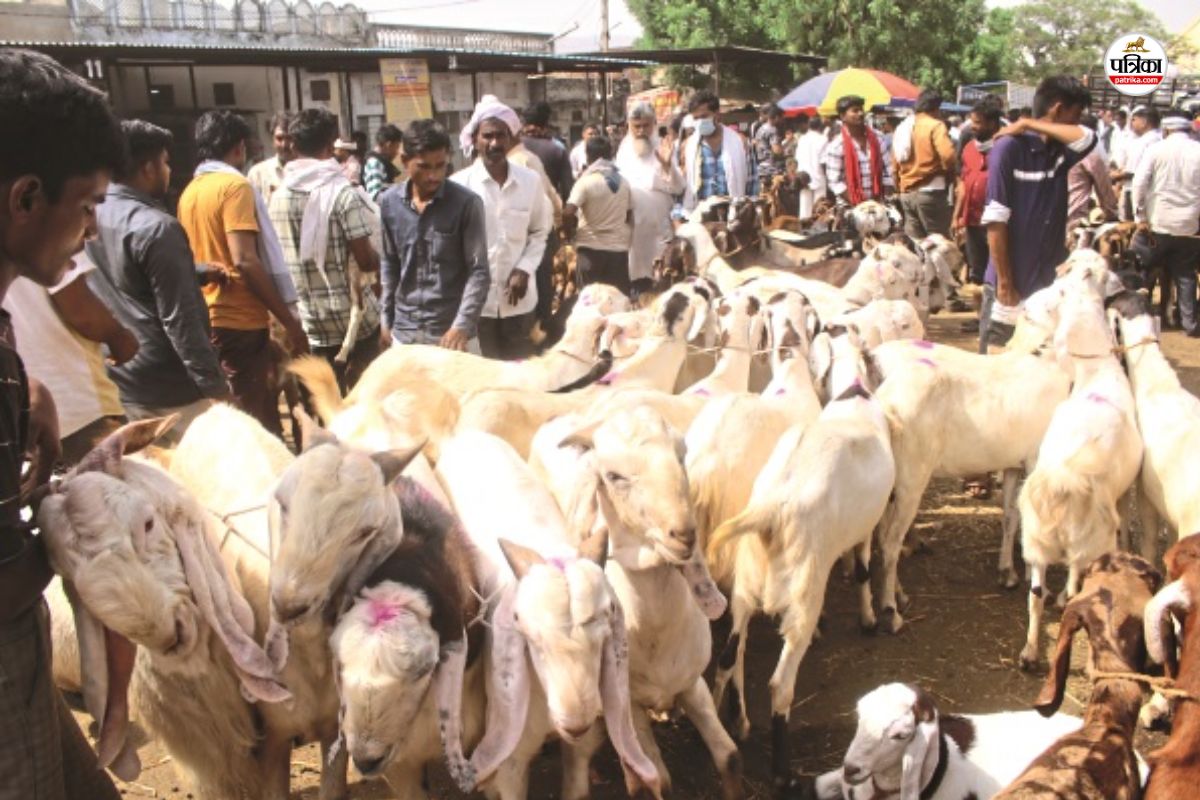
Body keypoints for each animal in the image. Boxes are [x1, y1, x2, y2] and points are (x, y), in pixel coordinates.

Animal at [707, 329, 895, 793]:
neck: (854, 395)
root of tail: (771, 508)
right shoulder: (864, 528)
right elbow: (862, 568)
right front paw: (868, 619)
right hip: (803, 590)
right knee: (779, 684)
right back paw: (782, 773)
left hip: (746, 586)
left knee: (728, 655)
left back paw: (725, 720)